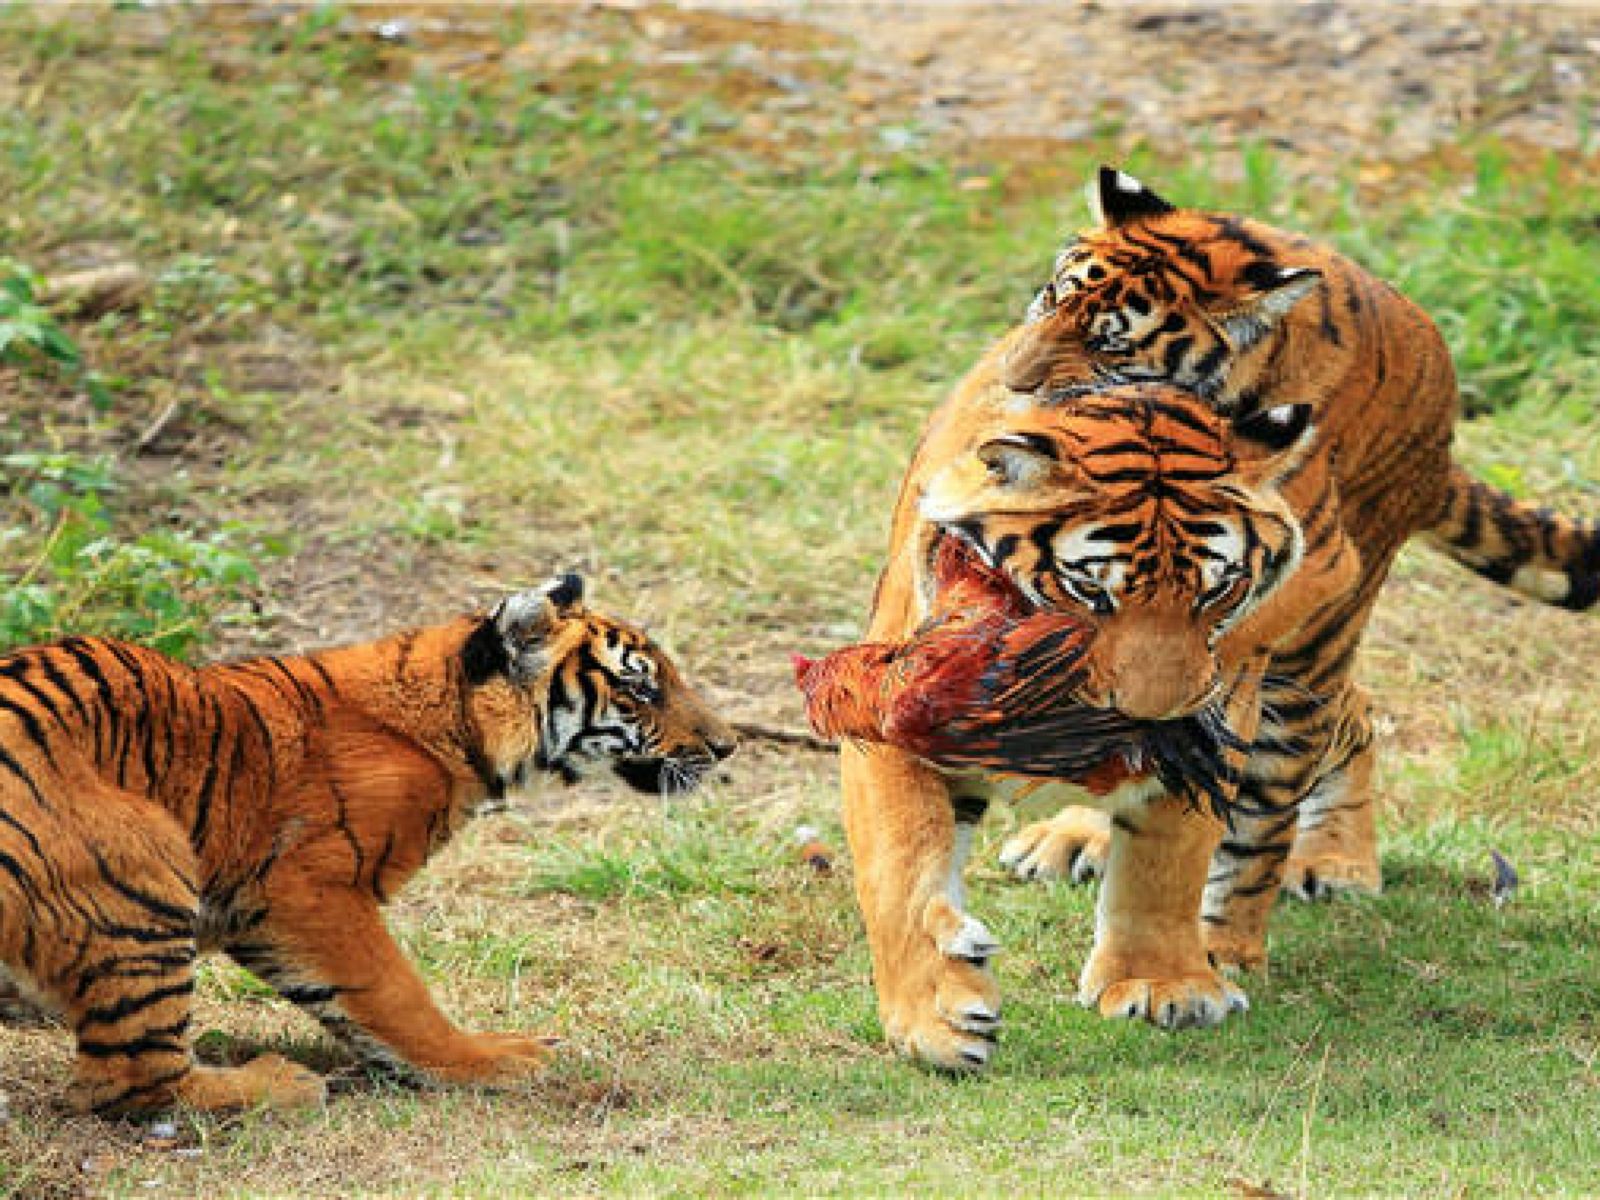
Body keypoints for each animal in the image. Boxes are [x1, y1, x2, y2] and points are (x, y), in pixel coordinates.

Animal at [0, 576, 736, 1120]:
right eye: (639, 687)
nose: (728, 746)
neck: (456, 727)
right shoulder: (311, 890)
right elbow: (394, 992)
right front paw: (490, 1058)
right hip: (146, 868)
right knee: (128, 1081)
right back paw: (277, 1082)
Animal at [844, 376, 1356, 1068]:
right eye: (1091, 592)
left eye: (1215, 591)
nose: (1151, 714)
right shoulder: (889, 722)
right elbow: (900, 869)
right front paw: (937, 1018)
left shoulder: (1214, 727)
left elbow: (1166, 864)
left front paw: (1162, 984)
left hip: (1309, 666)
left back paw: (1324, 873)